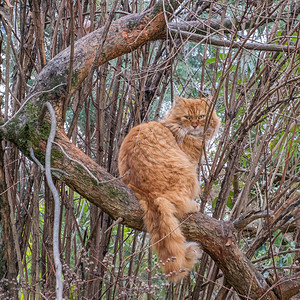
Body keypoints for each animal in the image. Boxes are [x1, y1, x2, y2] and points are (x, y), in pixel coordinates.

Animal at [118, 96, 219, 282]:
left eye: (201, 116)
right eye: (187, 117)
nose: (195, 125)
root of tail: (148, 194)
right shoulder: (191, 161)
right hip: (187, 172)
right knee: (180, 204)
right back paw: (193, 206)